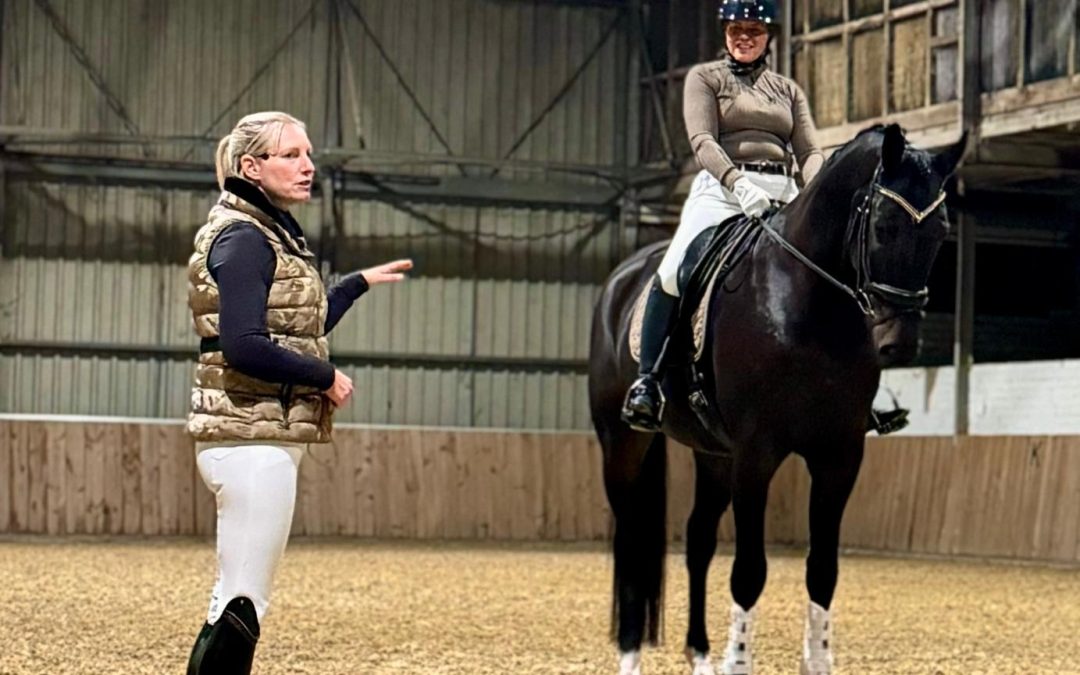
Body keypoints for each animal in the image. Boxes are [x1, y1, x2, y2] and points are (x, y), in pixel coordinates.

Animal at [587, 125, 967, 673]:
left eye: (939, 233)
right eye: (883, 227)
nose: (900, 342)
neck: (809, 305)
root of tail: (623, 277)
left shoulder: (839, 456)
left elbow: (823, 570)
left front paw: (818, 661)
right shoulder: (757, 454)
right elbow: (749, 570)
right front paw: (738, 661)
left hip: (713, 454)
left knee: (699, 541)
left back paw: (700, 655)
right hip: (621, 442)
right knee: (630, 538)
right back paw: (632, 655)